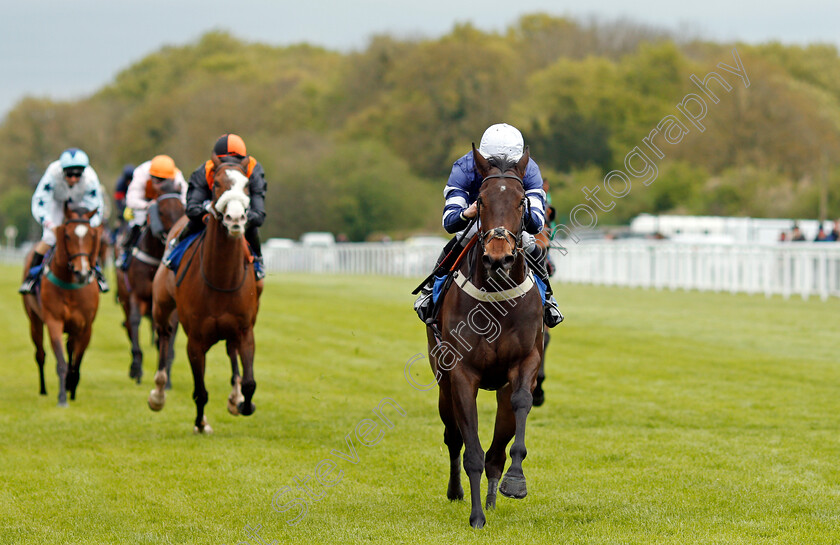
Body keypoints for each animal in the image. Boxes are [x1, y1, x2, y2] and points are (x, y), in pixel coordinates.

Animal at [21, 206, 102, 406]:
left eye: (91, 235)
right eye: (67, 235)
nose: (82, 273)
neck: (70, 285)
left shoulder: (85, 326)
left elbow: (76, 363)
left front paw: (72, 387)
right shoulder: (54, 322)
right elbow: (61, 362)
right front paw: (62, 397)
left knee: (70, 348)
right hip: (34, 320)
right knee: (40, 354)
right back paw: (43, 389)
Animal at [146, 157, 260, 434]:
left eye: (247, 185)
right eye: (217, 183)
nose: (235, 217)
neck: (220, 278)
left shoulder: (245, 330)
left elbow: (249, 380)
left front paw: (244, 403)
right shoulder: (195, 341)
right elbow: (200, 391)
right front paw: (200, 423)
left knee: (231, 352)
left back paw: (235, 397)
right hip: (161, 308)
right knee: (164, 337)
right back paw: (158, 392)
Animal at [426, 144, 544, 528]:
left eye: (522, 201)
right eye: (481, 198)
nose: (499, 258)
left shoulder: (525, 363)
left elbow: (519, 409)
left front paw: (515, 482)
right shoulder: (462, 374)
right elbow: (471, 450)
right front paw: (476, 516)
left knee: (497, 449)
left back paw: (493, 496)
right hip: (442, 379)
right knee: (452, 437)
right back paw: (458, 493)